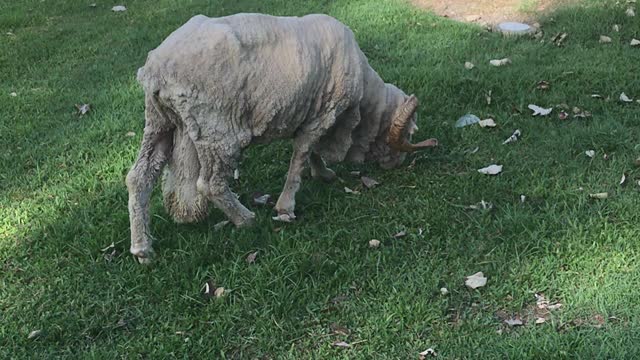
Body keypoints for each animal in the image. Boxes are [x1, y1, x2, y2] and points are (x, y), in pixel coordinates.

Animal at [126, 13, 436, 262]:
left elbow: (311, 152)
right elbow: (300, 157)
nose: (397, 164)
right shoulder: (323, 115)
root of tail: (156, 69)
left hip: (159, 121)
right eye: (407, 133)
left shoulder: (314, 113)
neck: (363, 106)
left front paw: (322, 173)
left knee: (139, 177)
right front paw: (286, 206)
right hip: (216, 130)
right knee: (209, 184)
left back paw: (142, 249)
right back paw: (245, 219)